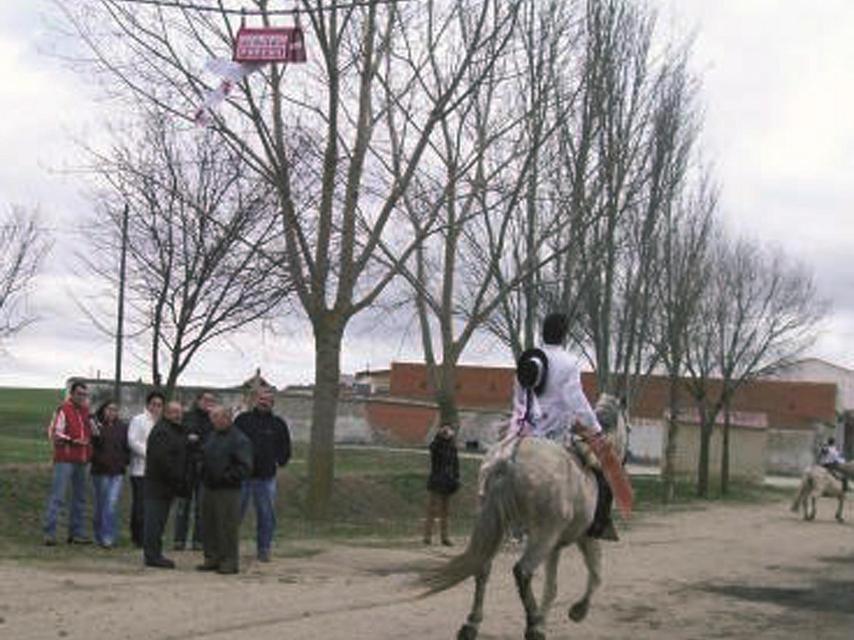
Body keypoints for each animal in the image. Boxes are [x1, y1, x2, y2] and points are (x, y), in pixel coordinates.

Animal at [422, 396, 628, 640]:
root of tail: (506, 460)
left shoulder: (555, 546)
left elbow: (552, 587)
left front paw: (545, 619)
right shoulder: (585, 538)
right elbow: (595, 575)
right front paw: (577, 611)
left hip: (498, 526)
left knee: (483, 568)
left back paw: (472, 624)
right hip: (542, 536)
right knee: (523, 571)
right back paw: (532, 625)